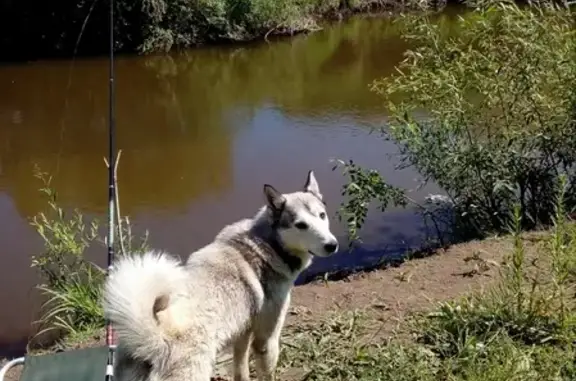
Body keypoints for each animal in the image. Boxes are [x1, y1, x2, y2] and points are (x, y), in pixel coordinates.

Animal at [103, 171, 338, 380]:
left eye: (322, 215)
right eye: (301, 225)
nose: (332, 245)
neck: (267, 242)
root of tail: (155, 338)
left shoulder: (242, 332)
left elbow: (240, 369)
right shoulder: (266, 340)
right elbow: (267, 373)